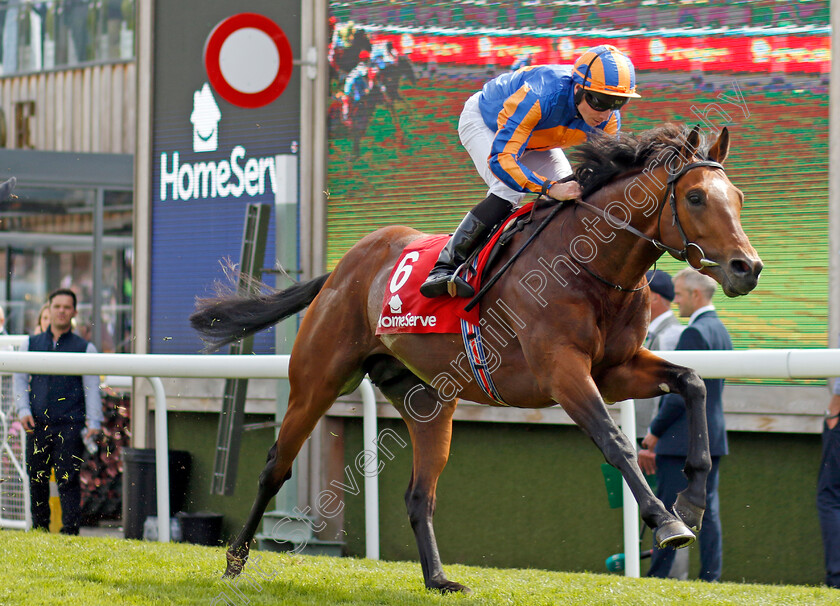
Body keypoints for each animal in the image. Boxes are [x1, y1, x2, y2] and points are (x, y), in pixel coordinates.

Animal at [192, 123, 760, 592]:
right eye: (694, 197)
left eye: (737, 197)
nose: (747, 267)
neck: (589, 264)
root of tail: (340, 269)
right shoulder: (562, 372)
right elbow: (615, 441)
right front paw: (666, 521)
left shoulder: (614, 369)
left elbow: (692, 382)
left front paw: (691, 501)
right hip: (318, 380)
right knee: (275, 467)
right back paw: (235, 561)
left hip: (428, 402)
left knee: (419, 495)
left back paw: (439, 579)